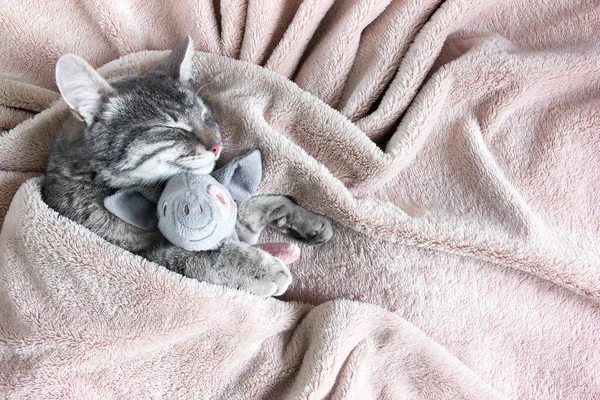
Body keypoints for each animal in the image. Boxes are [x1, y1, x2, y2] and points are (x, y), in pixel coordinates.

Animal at [42, 37, 332, 296]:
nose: (216, 146)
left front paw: (305, 218)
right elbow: (204, 255)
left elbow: (257, 202)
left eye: (205, 116)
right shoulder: (141, 257)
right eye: (173, 127)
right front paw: (260, 269)